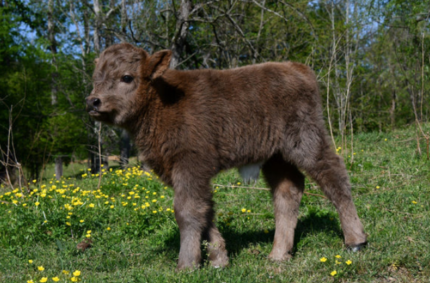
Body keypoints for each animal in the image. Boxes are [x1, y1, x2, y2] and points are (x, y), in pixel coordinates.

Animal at [86, 43, 366, 272]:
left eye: (126, 77)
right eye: (95, 77)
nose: (93, 101)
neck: (161, 102)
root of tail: (296, 67)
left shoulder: (190, 167)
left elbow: (187, 211)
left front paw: (187, 264)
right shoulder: (185, 174)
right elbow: (205, 210)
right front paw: (219, 259)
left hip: (306, 141)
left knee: (334, 175)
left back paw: (356, 240)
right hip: (276, 157)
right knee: (288, 191)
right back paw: (278, 254)